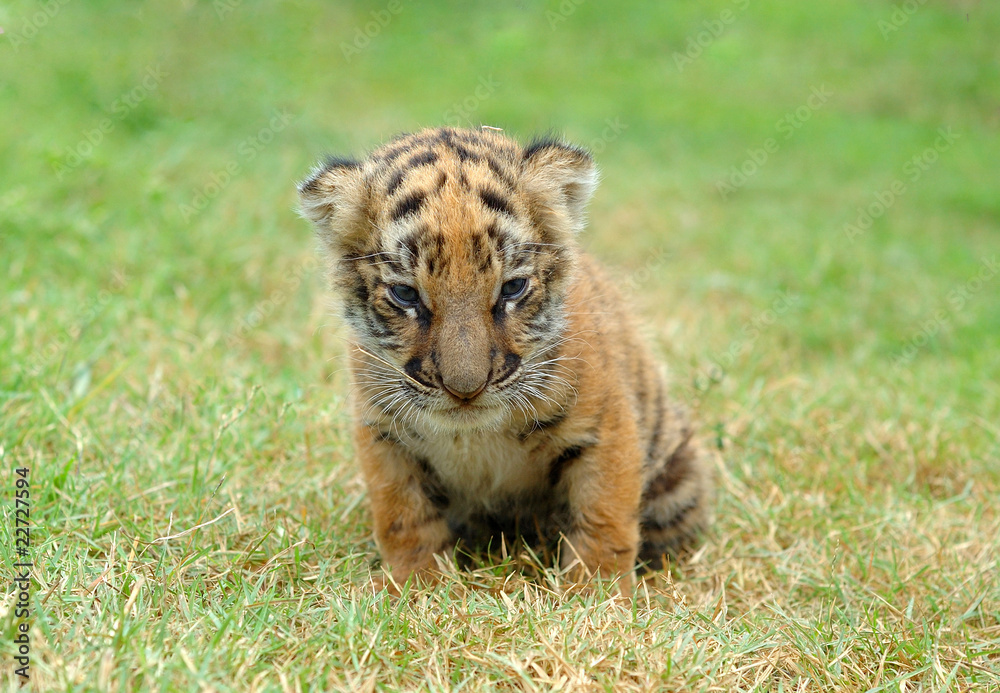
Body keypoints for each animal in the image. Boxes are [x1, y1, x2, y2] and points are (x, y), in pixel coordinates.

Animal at [297, 126, 713, 590]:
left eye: (512, 288)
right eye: (405, 294)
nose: (465, 390)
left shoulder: (606, 427)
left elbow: (603, 518)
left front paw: (597, 594)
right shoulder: (383, 433)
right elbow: (404, 518)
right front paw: (417, 587)